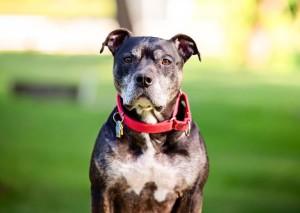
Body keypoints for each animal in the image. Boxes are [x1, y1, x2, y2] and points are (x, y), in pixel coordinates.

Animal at [89, 28, 209, 213]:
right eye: (128, 59)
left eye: (166, 61)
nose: (144, 78)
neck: (151, 130)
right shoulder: (103, 191)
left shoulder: (192, 194)